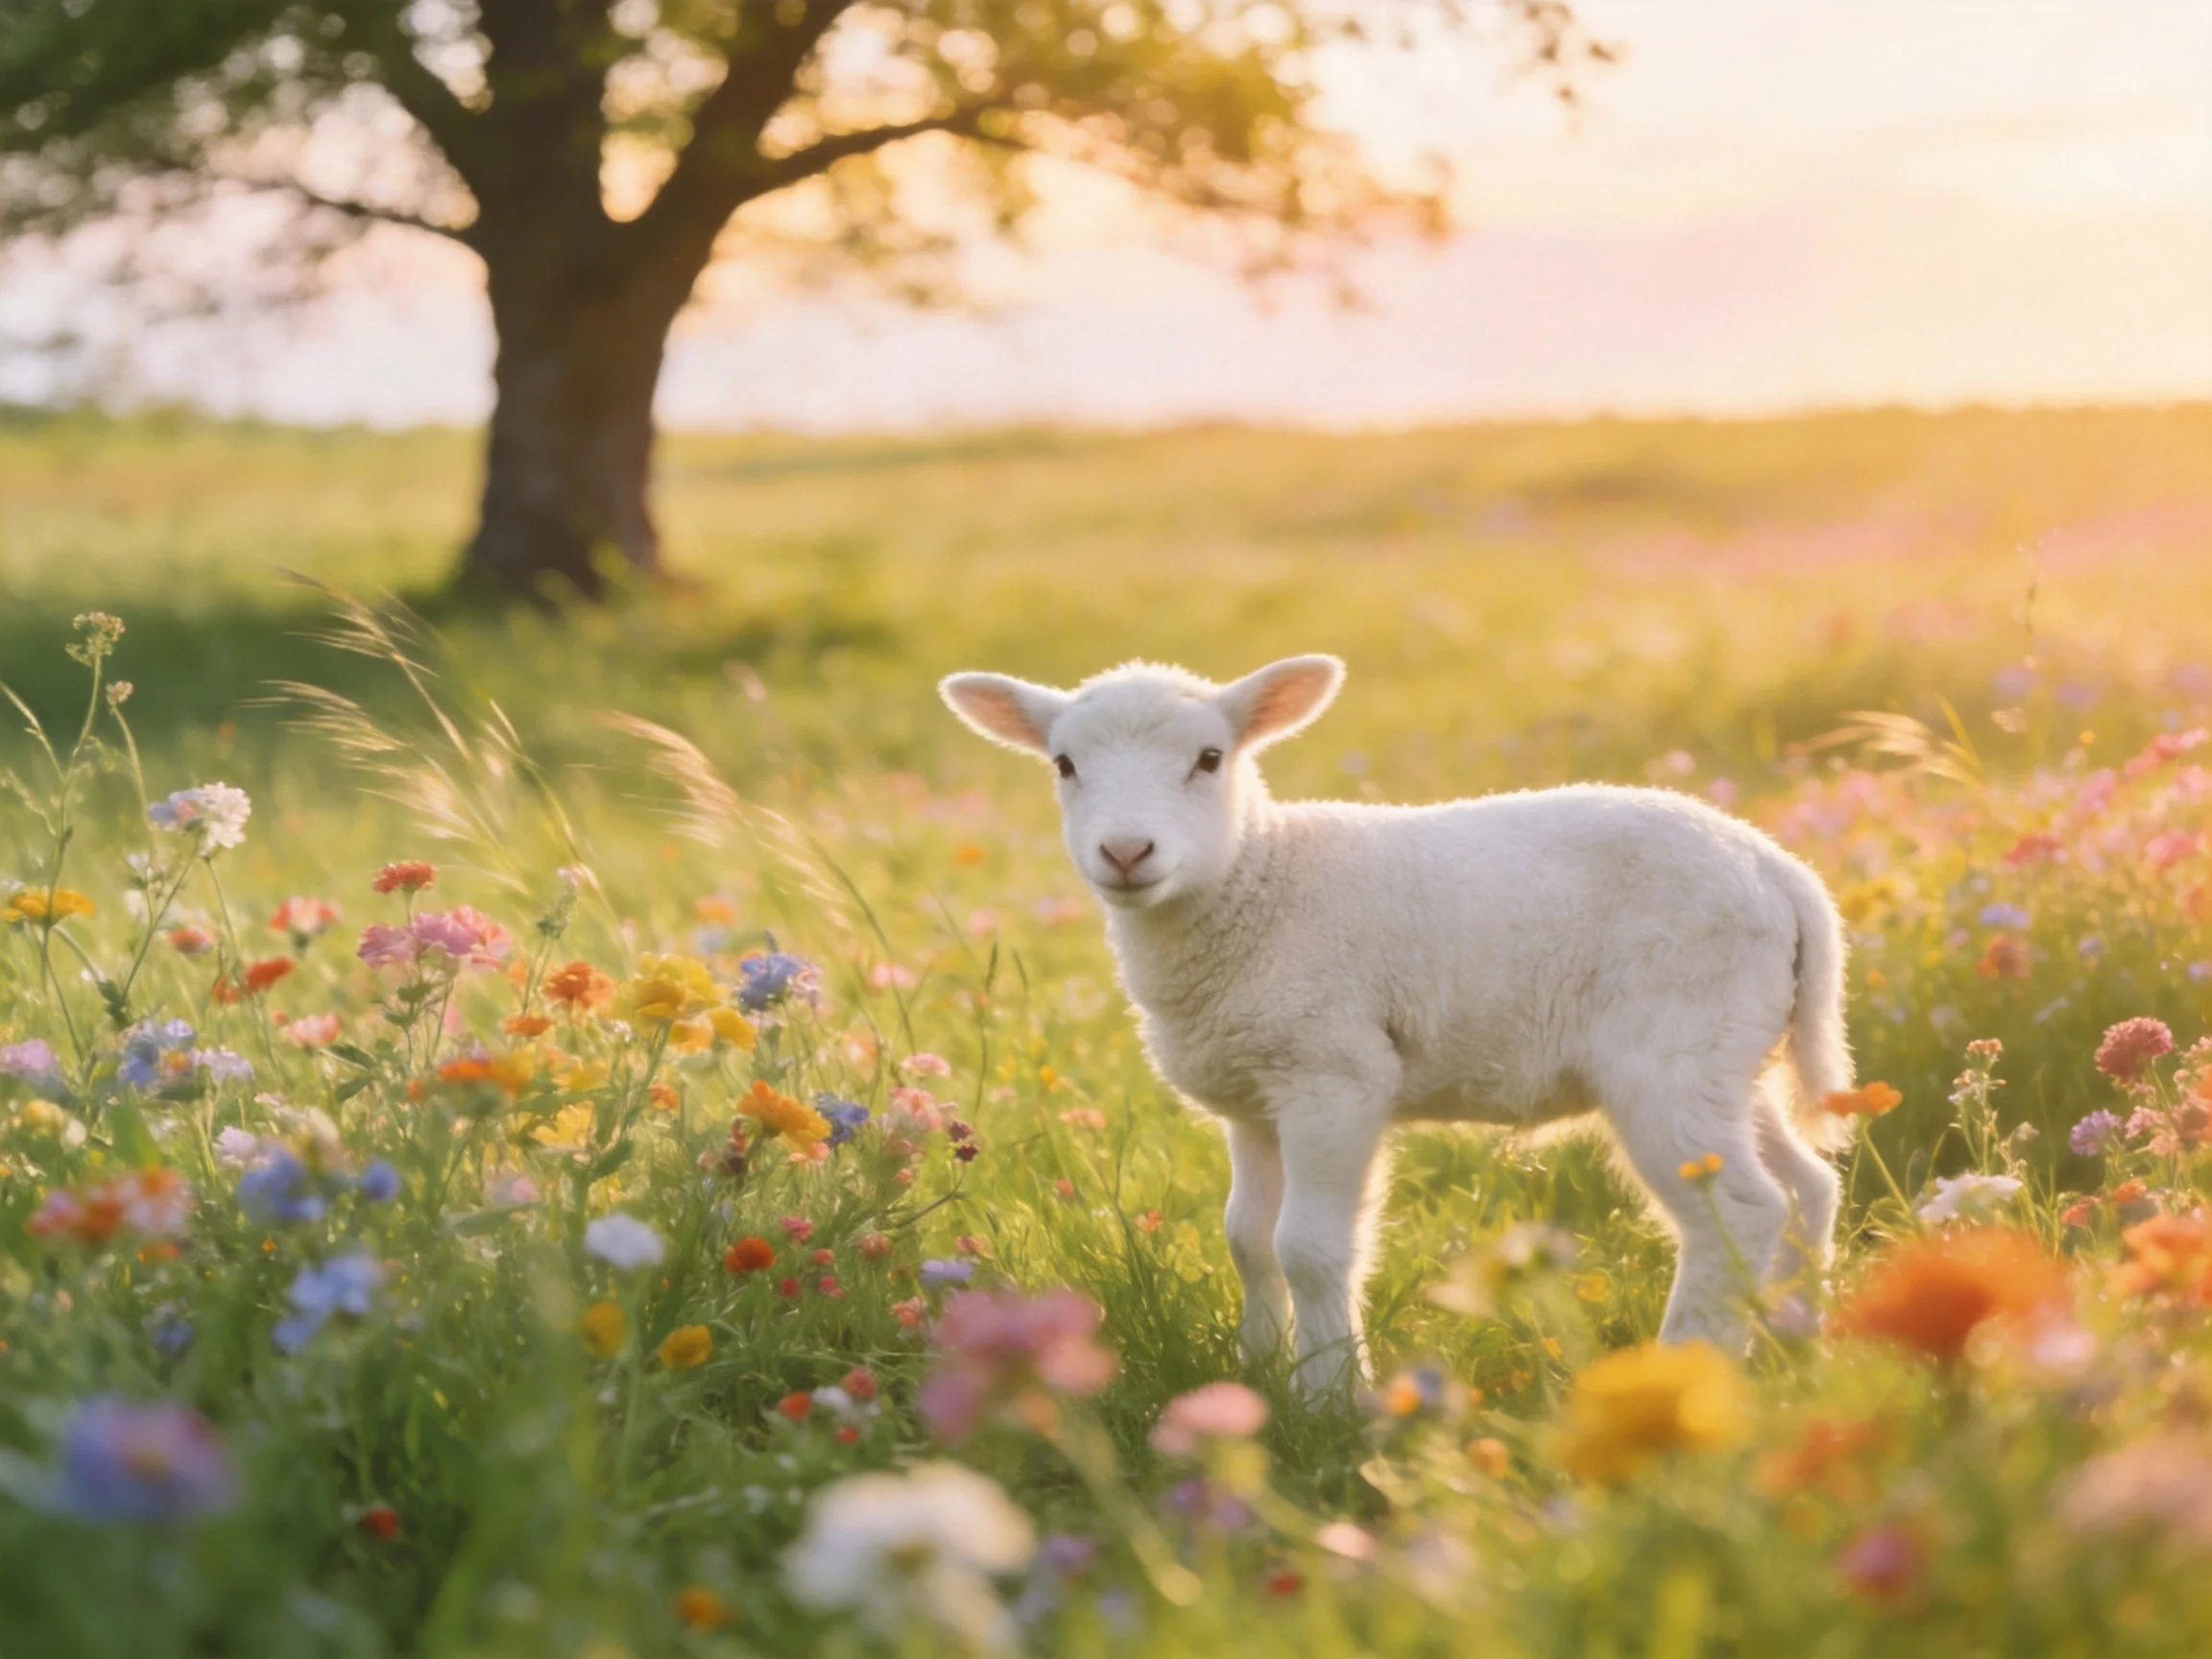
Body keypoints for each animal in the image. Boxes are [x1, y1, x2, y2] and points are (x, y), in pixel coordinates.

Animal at [940, 654, 1850, 1395]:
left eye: (1209, 759)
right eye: (1065, 764)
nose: (1127, 853)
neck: (1261, 883)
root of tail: (1782, 871)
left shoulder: (1334, 1075)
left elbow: (1308, 1248)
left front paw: (1329, 1399)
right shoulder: (1253, 1097)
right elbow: (1248, 1240)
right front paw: (1258, 1375)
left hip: (1672, 1051)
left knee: (1739, 1209)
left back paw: (1696, 1363)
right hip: (1731, 1052)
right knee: (1806, 1186)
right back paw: (1796, 1343)